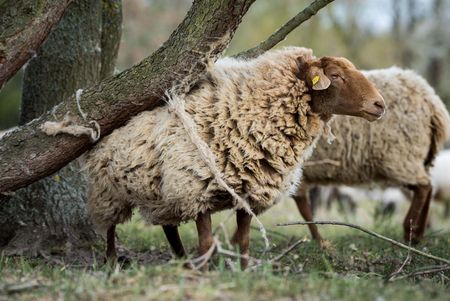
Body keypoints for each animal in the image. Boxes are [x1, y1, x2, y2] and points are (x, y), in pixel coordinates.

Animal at [85, 46, 386, 268]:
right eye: (335, 75)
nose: (379, 104)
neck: (249, 113)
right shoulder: (196, 190)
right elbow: (207, 244)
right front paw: (205, 276)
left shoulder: (248, 194)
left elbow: (243, 241)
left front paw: (242, 272)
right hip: (109, 190)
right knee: (110, 229)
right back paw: (111, 263)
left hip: (160, 193)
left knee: (169, 228)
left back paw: (182, 262)